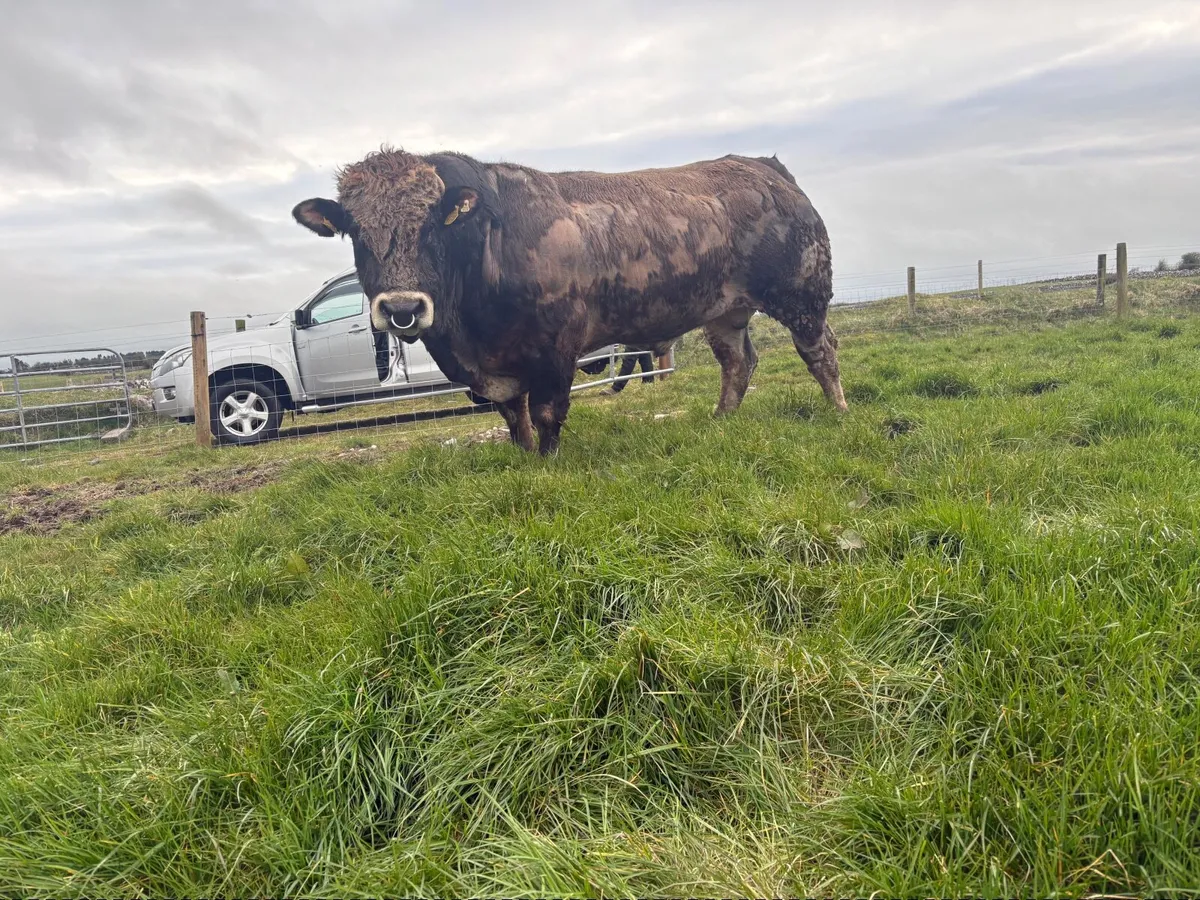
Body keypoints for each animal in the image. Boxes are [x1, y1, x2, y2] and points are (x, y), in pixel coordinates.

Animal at [292, 148, 847, 455]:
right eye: (355, 231)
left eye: (432, 227)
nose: (403, 307)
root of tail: (766, 169)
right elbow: (512, 416)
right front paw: (520, 457)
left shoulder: (555, 347)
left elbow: (545, 412)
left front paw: (547, 461)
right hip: (726, 311)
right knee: (738, 362)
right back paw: (722, 419)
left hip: (802, 293)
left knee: (820, 352)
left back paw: (838, 411)